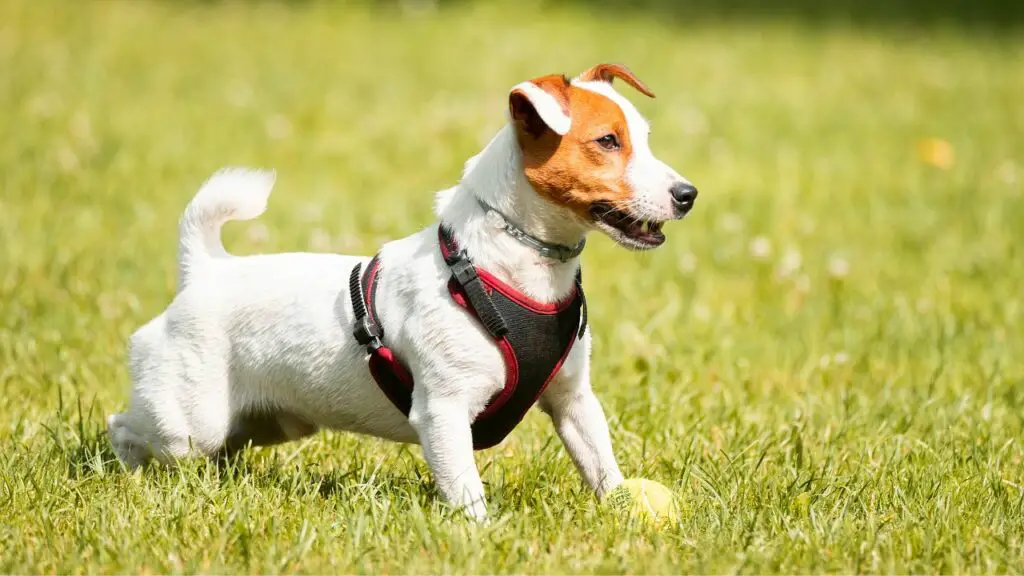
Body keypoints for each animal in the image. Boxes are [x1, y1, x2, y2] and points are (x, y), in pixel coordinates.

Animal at [110, 63, 696, 520]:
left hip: (266, 422)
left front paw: (624, 509)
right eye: (607, 142)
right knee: (127, 428)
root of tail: (205, 270)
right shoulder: (444, 411)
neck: (508, 268)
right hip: (190, 420)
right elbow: (465, 490)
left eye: (644, 139)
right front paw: (480, 536)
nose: (687, 194)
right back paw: (127, 475)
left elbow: (601, 465)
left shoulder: (574, 402)